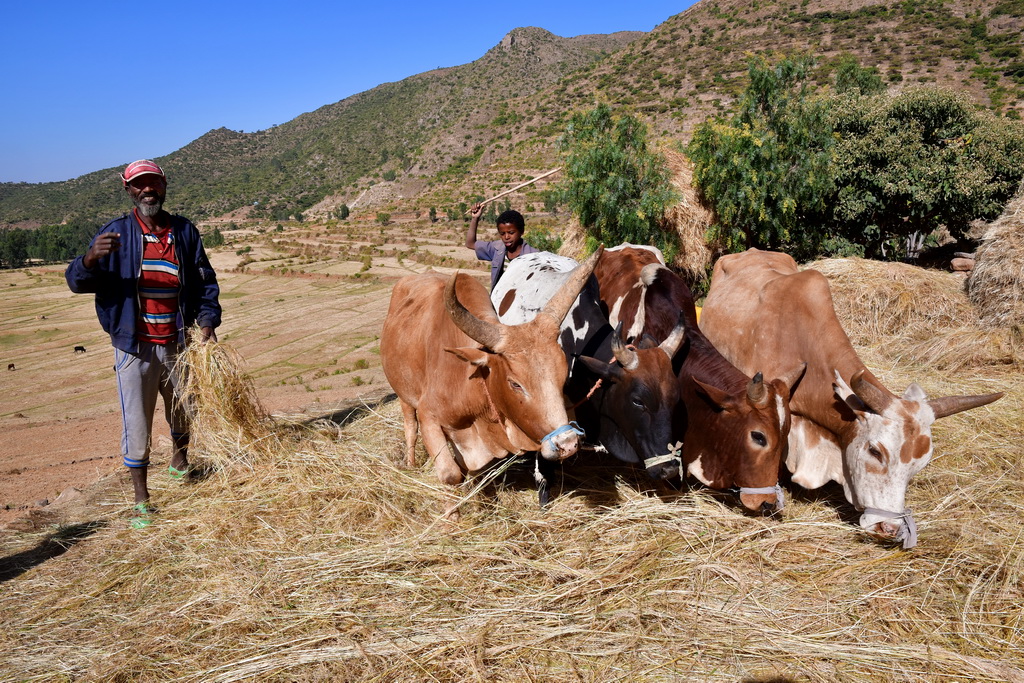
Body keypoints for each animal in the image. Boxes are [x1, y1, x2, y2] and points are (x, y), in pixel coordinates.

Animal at [378, 248, 598, 489]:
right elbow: (451, 474)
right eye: (515, 384)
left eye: (562, 376)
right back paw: (410, 463)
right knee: (410, 427)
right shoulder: (429, 417)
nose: (567, 444)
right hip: (403, 394)